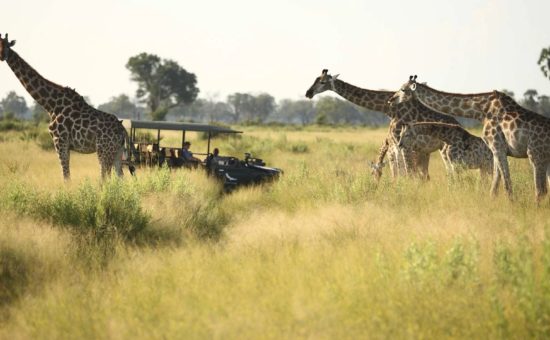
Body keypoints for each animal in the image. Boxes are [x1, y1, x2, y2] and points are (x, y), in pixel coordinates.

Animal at [0, 33, 134, 179]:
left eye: (6, 45)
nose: (2, 56)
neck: (50, 105)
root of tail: (122, 129)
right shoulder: (64, 144)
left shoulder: (60, 141)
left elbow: (66, 176)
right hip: (117, 151)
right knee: (120, 177)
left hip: (104, 150)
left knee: (105, 177)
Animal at [306, 69, 458, 181]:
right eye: (315, 79)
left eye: (322, 82)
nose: (308, 93)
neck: (388, 108)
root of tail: (458, 124)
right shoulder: (400, 147)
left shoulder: (400, 147)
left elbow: (402, 174)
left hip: (443, 149)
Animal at [396, 75, 550, 201]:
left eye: (403, 89)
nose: (392, 100)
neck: (481, 111)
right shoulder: (494, 151)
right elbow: (494, 186)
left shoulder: (497, 146)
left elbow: (506, 185)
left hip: (535, 154)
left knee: (540, 190)